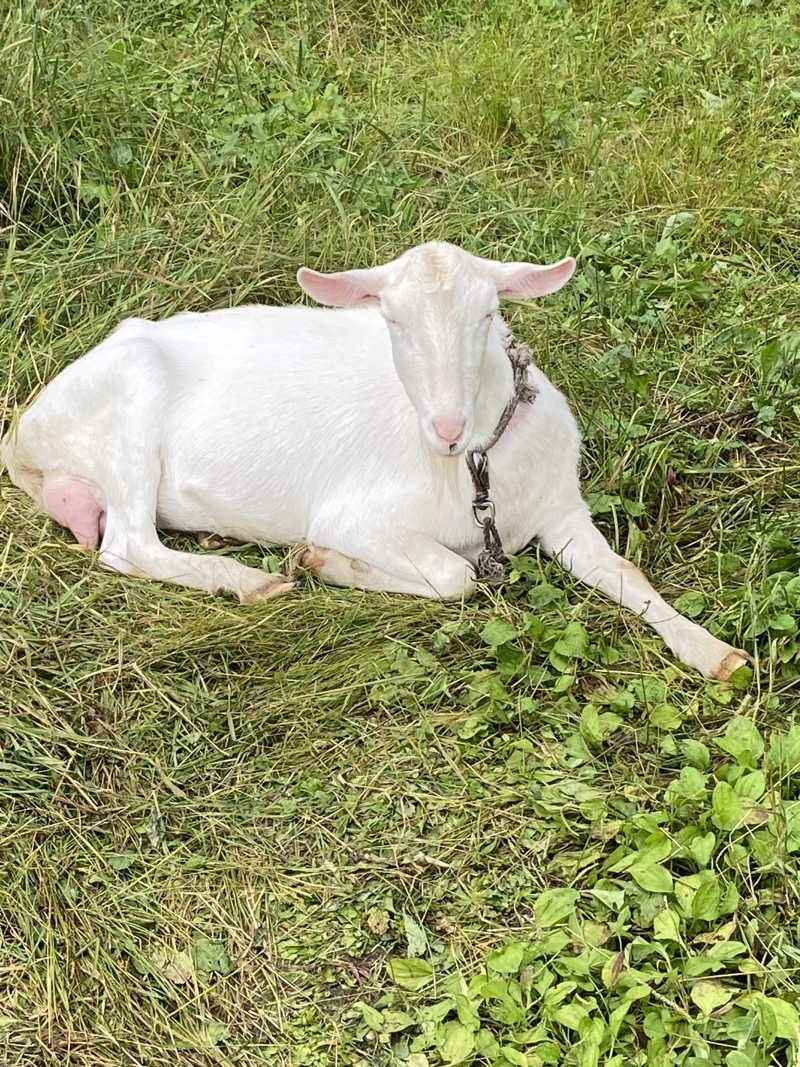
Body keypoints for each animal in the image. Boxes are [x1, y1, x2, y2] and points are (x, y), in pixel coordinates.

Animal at [1, 240, 750, 674]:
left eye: (488, 314)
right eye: (391, 319)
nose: (447, 425)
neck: (473, 472)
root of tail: (24, 432)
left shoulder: (560, 508)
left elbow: (626, 572)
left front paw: (715, 653)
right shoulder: (355, 514)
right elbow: (454, 575)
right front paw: (324, 563)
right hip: (132, 399)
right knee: (126, 544)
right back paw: (248, 581)